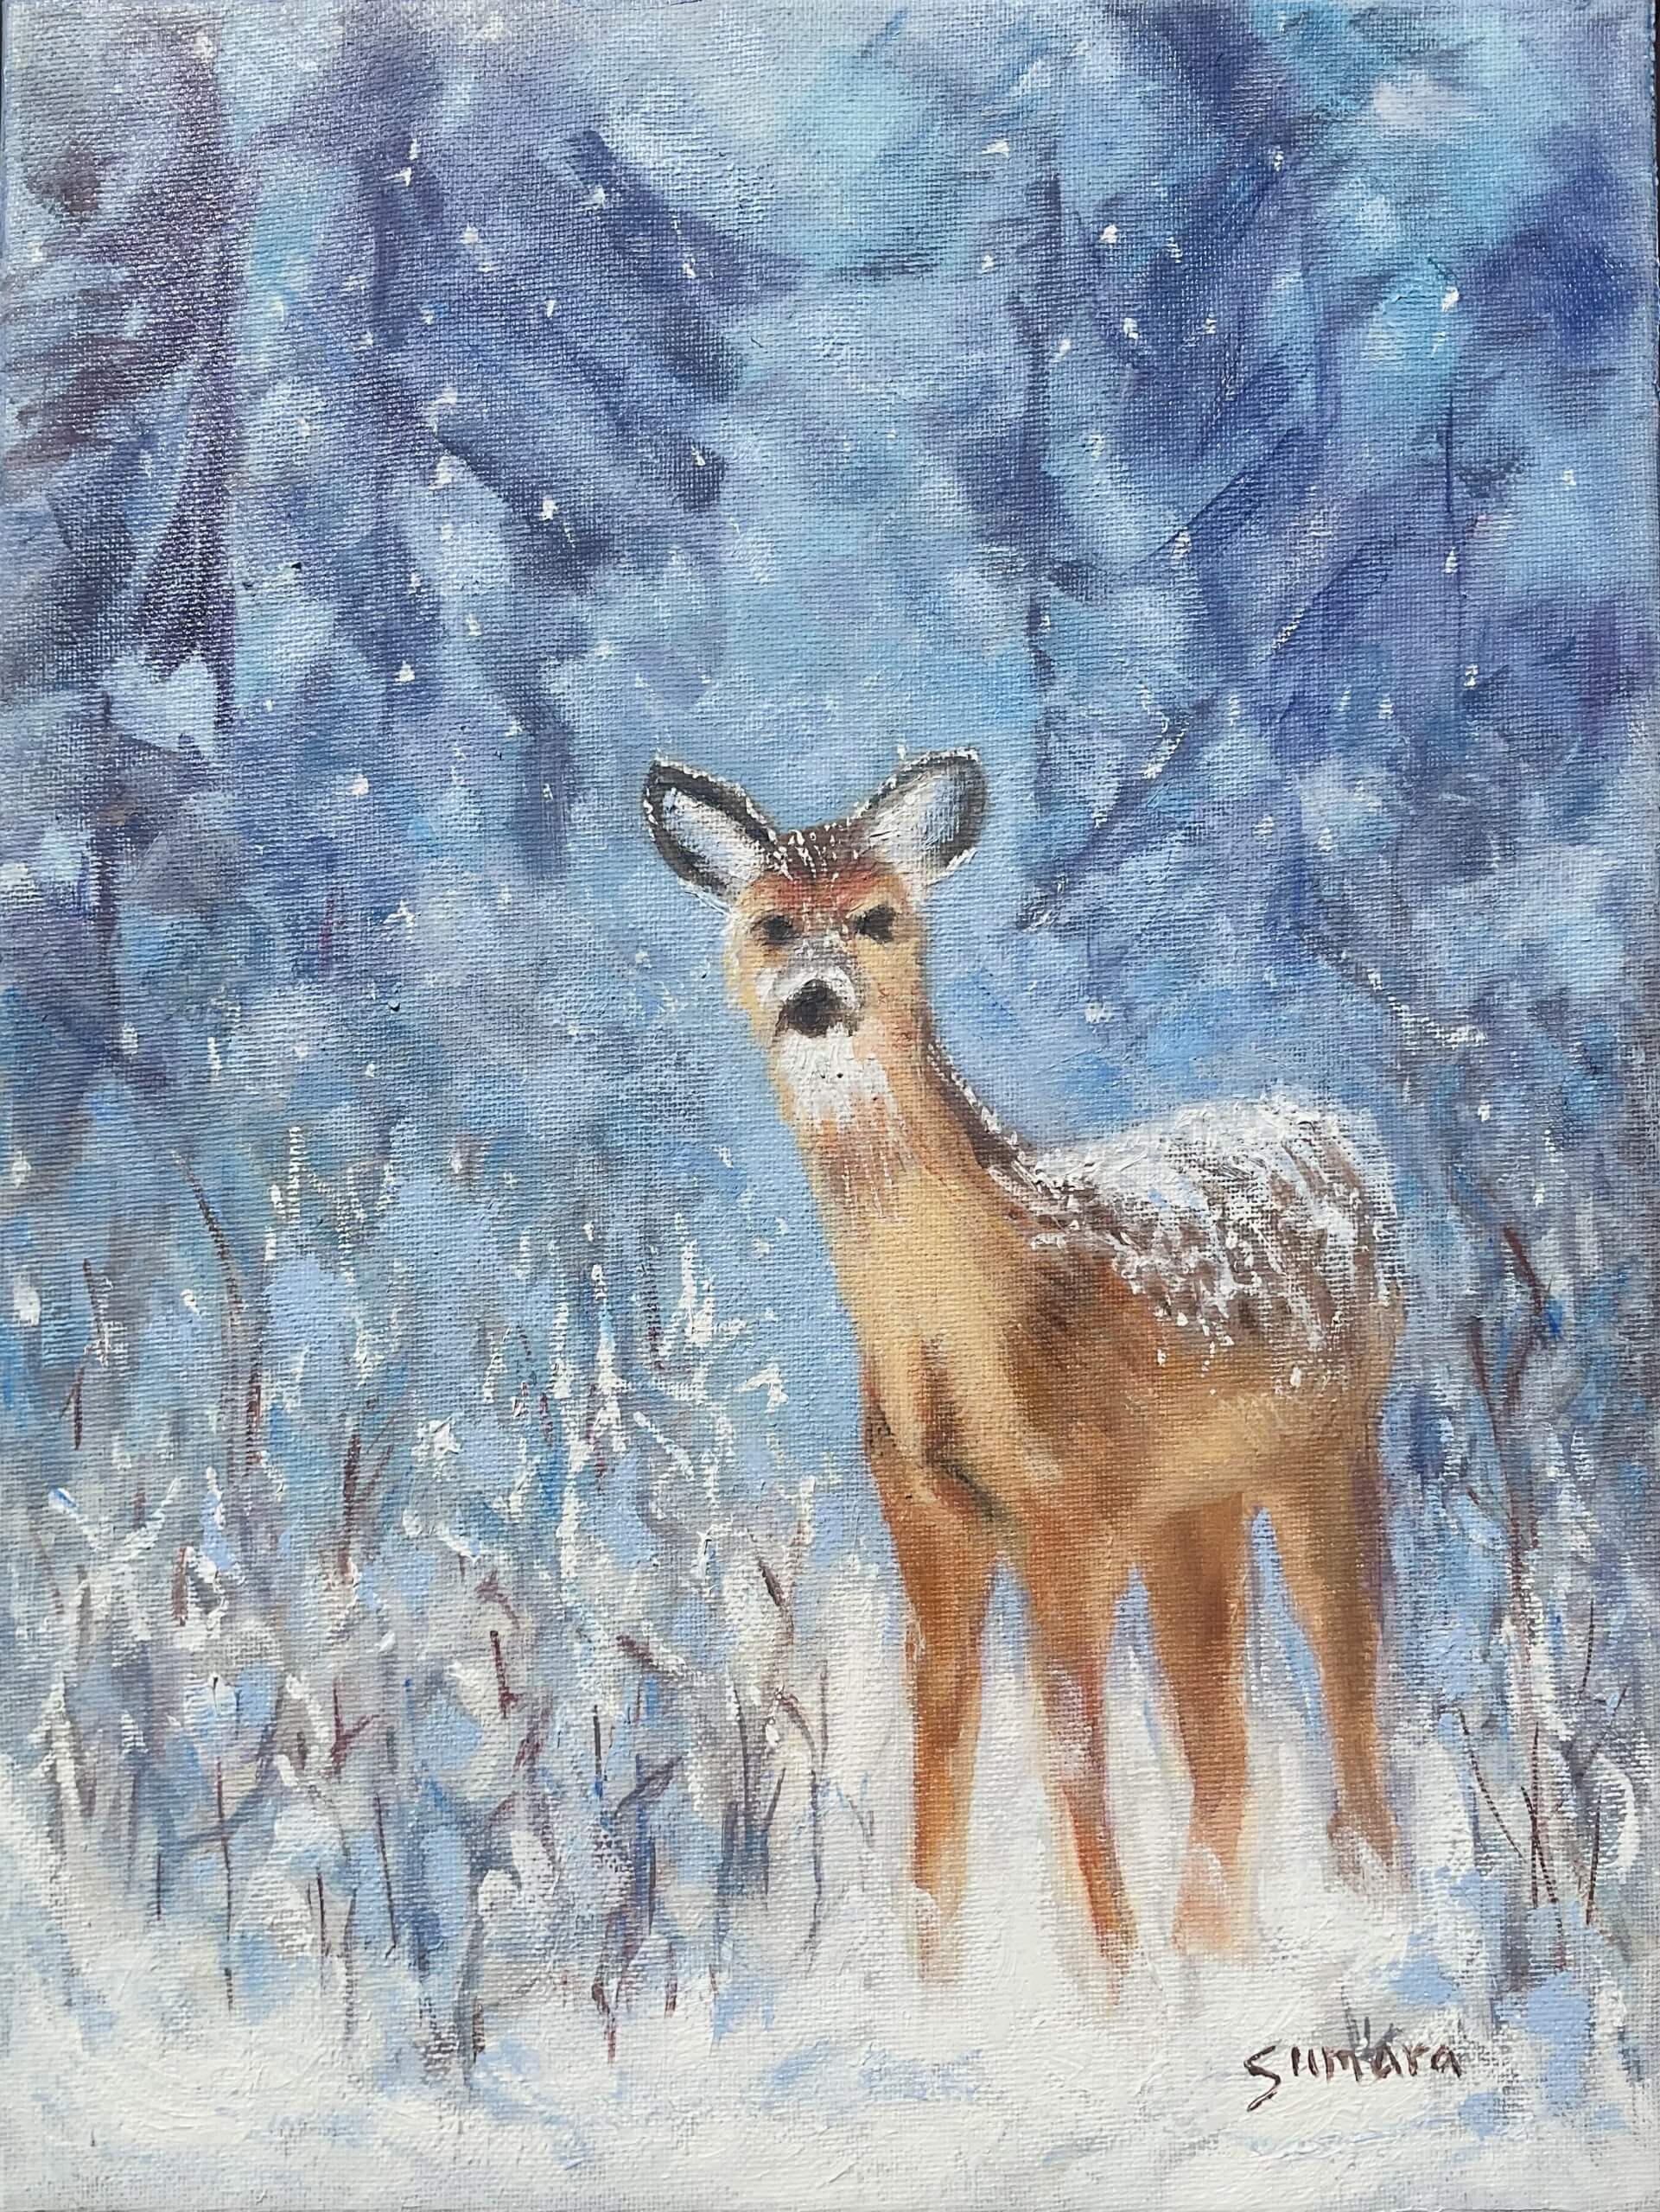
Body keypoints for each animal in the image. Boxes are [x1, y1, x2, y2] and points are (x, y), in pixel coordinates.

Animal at [643, 748, 1402, 1977]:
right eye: (769, 924)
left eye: (877, 917)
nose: (815, 998)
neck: (971, 1339)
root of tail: (1338, 1129)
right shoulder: (931, 1520)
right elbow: (940, 1748)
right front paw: (935, 1983)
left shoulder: (1071, 1519)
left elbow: (1072, 1751)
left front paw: (1111, 1981)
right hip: (1194, 1506)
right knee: (1223, 1738)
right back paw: (1216, 1961)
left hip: (1328, 1449)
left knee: (1350, 1678)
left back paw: (1375, 1912)